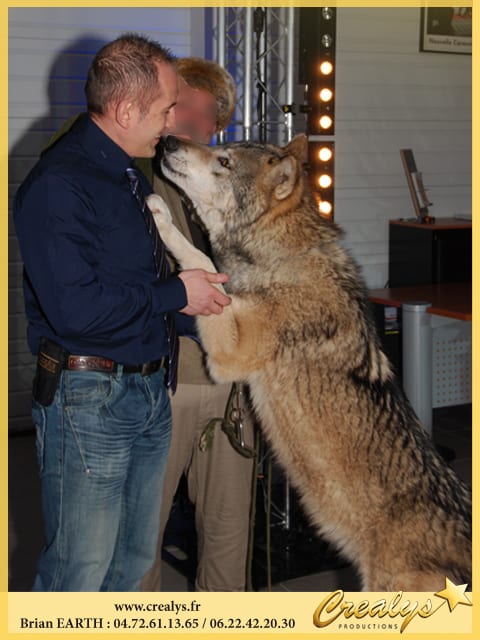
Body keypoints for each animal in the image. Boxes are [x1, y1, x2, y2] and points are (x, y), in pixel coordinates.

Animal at [148, 134, 470, 592]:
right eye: (222, 145)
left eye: (224, 161)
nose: (169, 140)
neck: (285, 257)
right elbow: (207, 263)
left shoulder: (231, 352)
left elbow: (201, 261)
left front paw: (159, 214)